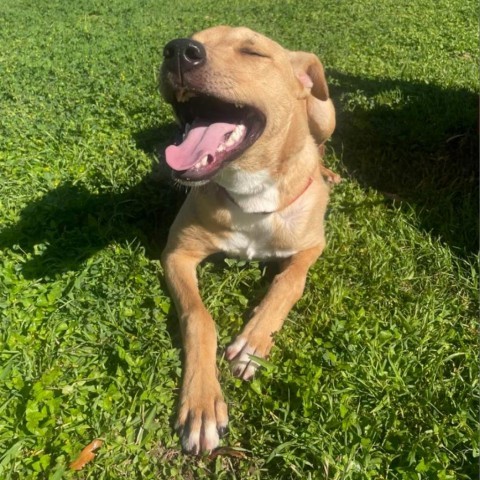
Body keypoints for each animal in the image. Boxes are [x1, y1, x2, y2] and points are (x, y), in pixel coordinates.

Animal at [159, 25, 336, 454]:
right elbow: (199, 317)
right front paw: (202, 405)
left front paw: (254, 342)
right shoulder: (177, 254)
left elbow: (289, 282)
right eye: (189, 38)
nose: (179, 51)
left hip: (325, 113)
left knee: (321, 142)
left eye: (253, 53)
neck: (250, 191)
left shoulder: (312, 245)